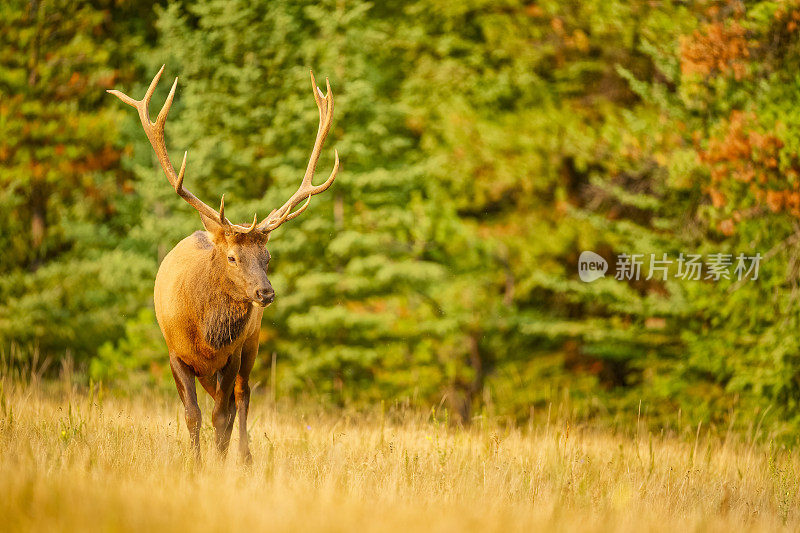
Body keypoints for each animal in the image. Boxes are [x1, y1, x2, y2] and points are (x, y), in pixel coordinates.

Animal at [108, 64, 338, 460]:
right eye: (232, 256)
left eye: (267, 257)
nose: (265, 293)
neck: (206, 335)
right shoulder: (175, 354)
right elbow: (193, 415)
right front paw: (197, 464)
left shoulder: (232, 354)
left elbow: (222, 415)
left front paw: (219, 461)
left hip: (251, 345)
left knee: (240, 400)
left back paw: (243, 457)